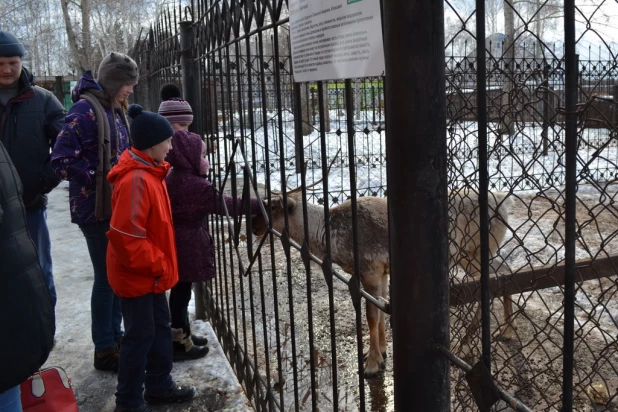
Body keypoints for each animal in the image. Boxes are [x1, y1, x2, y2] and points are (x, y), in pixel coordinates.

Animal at [248, 167, 512, 376]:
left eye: (273, 207)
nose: (252, 227)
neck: (328, 234)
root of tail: (503, 206)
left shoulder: (370, 269)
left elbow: (371, 316)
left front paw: (372, 364)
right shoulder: (383, 271)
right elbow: (383, 309)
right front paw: (382, 352)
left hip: (473, 252)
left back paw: (472, 339)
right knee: (504, 271)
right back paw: (504, 330)